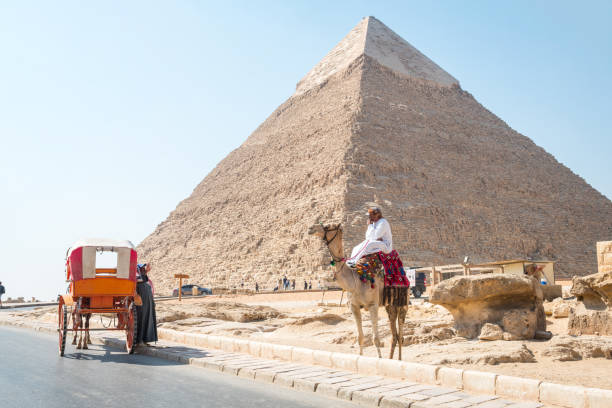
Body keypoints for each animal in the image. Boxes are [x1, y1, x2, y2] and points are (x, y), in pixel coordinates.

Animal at [310, 223, 406, 360]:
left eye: (328, 226)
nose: (311, 228)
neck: (356, 279)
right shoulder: (354, 306)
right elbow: (360, 337)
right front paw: (360, 356)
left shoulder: (373, 305)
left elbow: (376, 339)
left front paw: (379, 358)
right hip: (390, 304)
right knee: (395, 334)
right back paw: (391, 358)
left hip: (402, 301)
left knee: (401, 332)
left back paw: (398, 359)